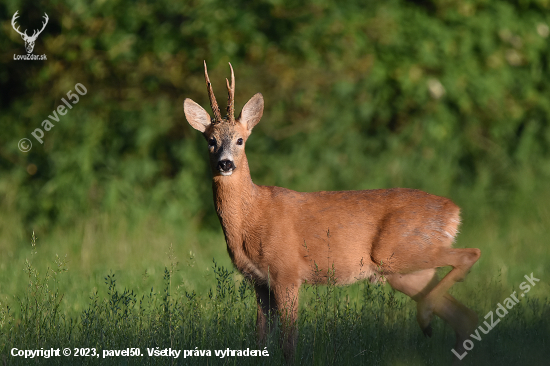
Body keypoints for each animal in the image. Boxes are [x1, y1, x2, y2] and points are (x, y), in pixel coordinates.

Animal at [183, 61, 480, 362]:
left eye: (241, 140)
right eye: (210, 140)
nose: (225, 164)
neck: (251, 216)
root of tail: (453, 211)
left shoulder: (287, 271)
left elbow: (289, 342)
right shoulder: (259, 281)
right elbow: (260, 337)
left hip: (399, 251)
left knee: (470, 255)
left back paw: (425, 316)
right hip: (407, 272)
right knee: (465, 316)